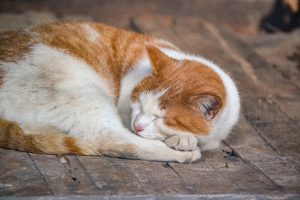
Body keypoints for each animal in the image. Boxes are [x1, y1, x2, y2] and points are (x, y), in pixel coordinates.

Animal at [0, 21, 240, 162]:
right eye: (139, 103)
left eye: (161, 118)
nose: (138, 125)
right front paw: (185, 143)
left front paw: (183, 139)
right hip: (84, 93)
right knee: (112, 139)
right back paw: (184, 155)